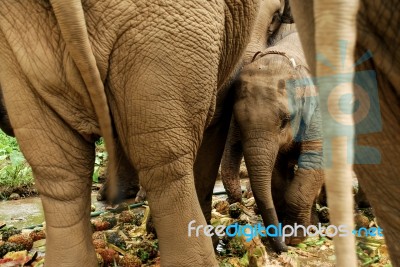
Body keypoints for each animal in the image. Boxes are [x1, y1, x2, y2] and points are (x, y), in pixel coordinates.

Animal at [222, 25, 324, 247]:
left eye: (285, 120)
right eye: (237, 120)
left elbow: (315, 159)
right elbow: (278, 171)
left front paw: (294, 238)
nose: (237, 201)